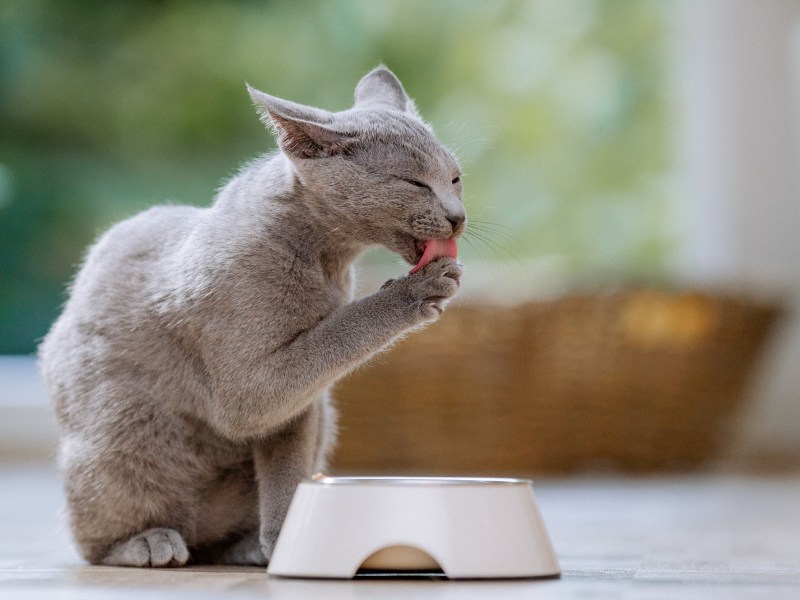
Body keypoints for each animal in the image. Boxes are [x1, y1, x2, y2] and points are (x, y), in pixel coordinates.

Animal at [39, 67, 468, 568]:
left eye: (455, 179)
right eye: (413, 182)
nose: (457, 217)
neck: (326, 260)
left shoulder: (303, 408)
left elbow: (287, 470)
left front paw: (286, 539)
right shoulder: (246, 387)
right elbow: (334, 336)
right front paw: (416, 292)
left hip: (323, 416)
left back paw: (244, 546)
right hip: (121, 422)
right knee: (89, 540)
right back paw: (145, 543)